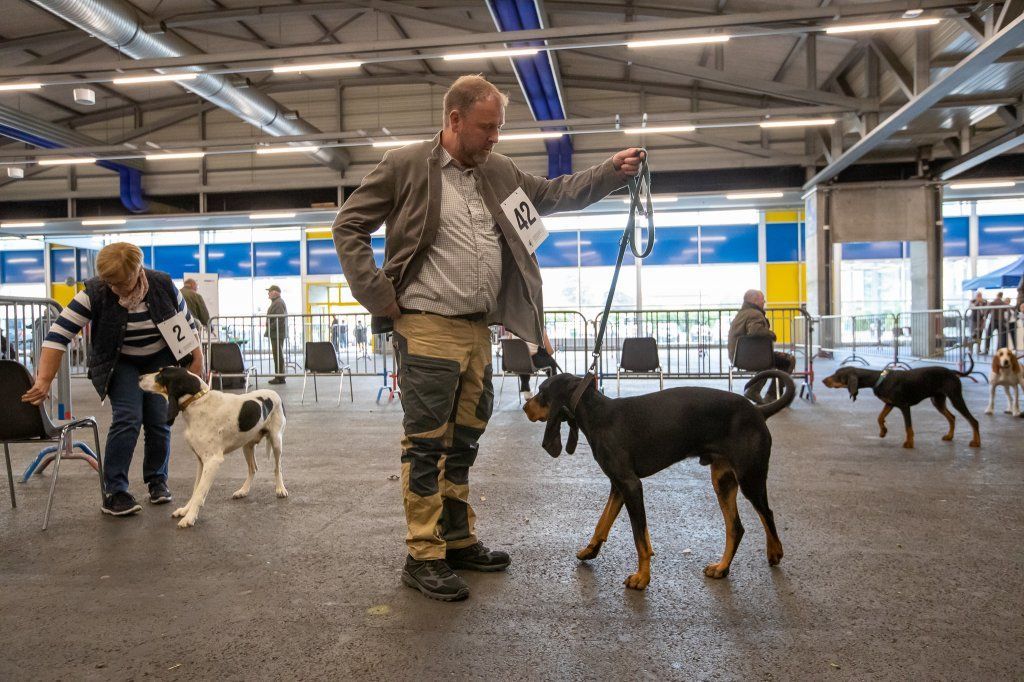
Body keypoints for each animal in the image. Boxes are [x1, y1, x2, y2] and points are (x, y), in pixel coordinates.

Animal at [136, 366, 288, 524]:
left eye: (160, 375)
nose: (139, 377)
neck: (197, 402)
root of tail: (274, 393)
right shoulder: (201, 461)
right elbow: (196, 489)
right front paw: (185, 510)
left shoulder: (212, 461)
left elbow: (200, 491)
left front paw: (189, 517)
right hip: (246, 446)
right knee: (253, 469)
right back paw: (243, 491)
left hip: (276, 442)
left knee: (278, 468)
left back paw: (280, 489)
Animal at [524, 368, 794, 585]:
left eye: (541, 391)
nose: (525, 407)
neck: (597, 414)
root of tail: (758, 410)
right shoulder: (618, 486)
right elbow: (603, 522)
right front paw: (590, 551)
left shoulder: (631, 485)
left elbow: (638, 538)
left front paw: (642, 578)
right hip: (723, 481)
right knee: (736, 528)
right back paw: (722, 568)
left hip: (750, 478)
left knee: (767, 514)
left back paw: (774, 552)